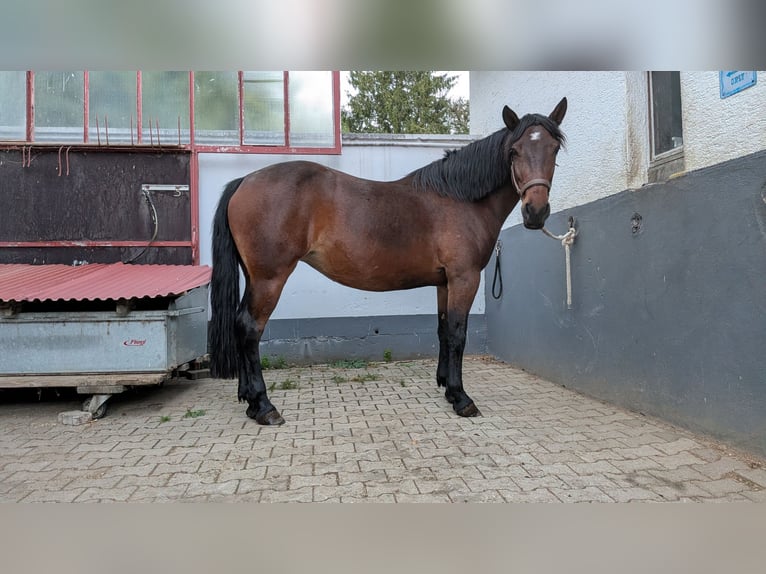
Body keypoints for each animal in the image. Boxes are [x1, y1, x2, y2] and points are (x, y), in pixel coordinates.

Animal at [209, 97, 567, 425]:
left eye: (554, 150)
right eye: (514, 151)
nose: (536, 212)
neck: (461, 199)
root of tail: (244, 181)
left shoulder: (444, 282)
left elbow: (443, 330)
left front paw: (446, 388)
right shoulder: (464, 278)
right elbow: (457, 334)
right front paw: (462, 398)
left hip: (254, 277)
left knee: (240, 324)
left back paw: (249, 399)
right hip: (270, 278)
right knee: (250, 328)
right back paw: (264, 406)